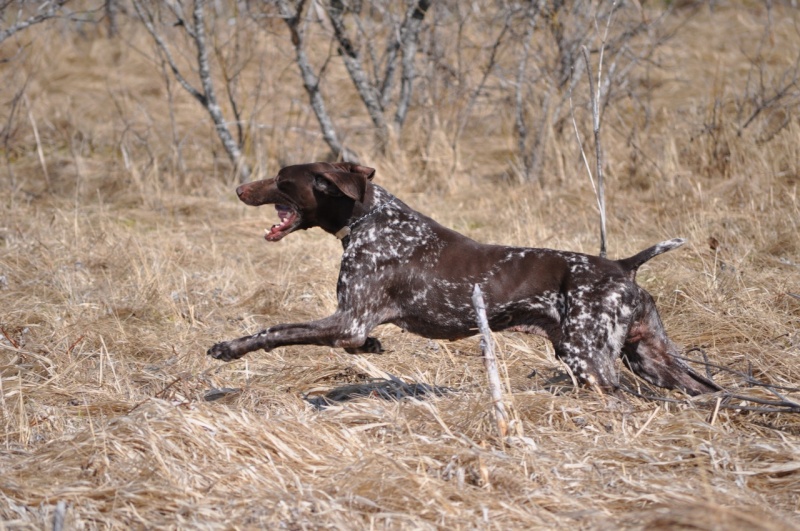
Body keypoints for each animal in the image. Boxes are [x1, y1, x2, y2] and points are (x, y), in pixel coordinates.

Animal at [206, 161, 720, 394]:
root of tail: (623, 266)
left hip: (589, 359)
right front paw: (373, 349)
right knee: (709, 391)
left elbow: (277, 330)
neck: (371, 218)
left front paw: (230, 348)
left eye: (281, 178)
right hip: (653, 358)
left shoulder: (349, 319)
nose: (238, 188)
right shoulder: (353, 325)